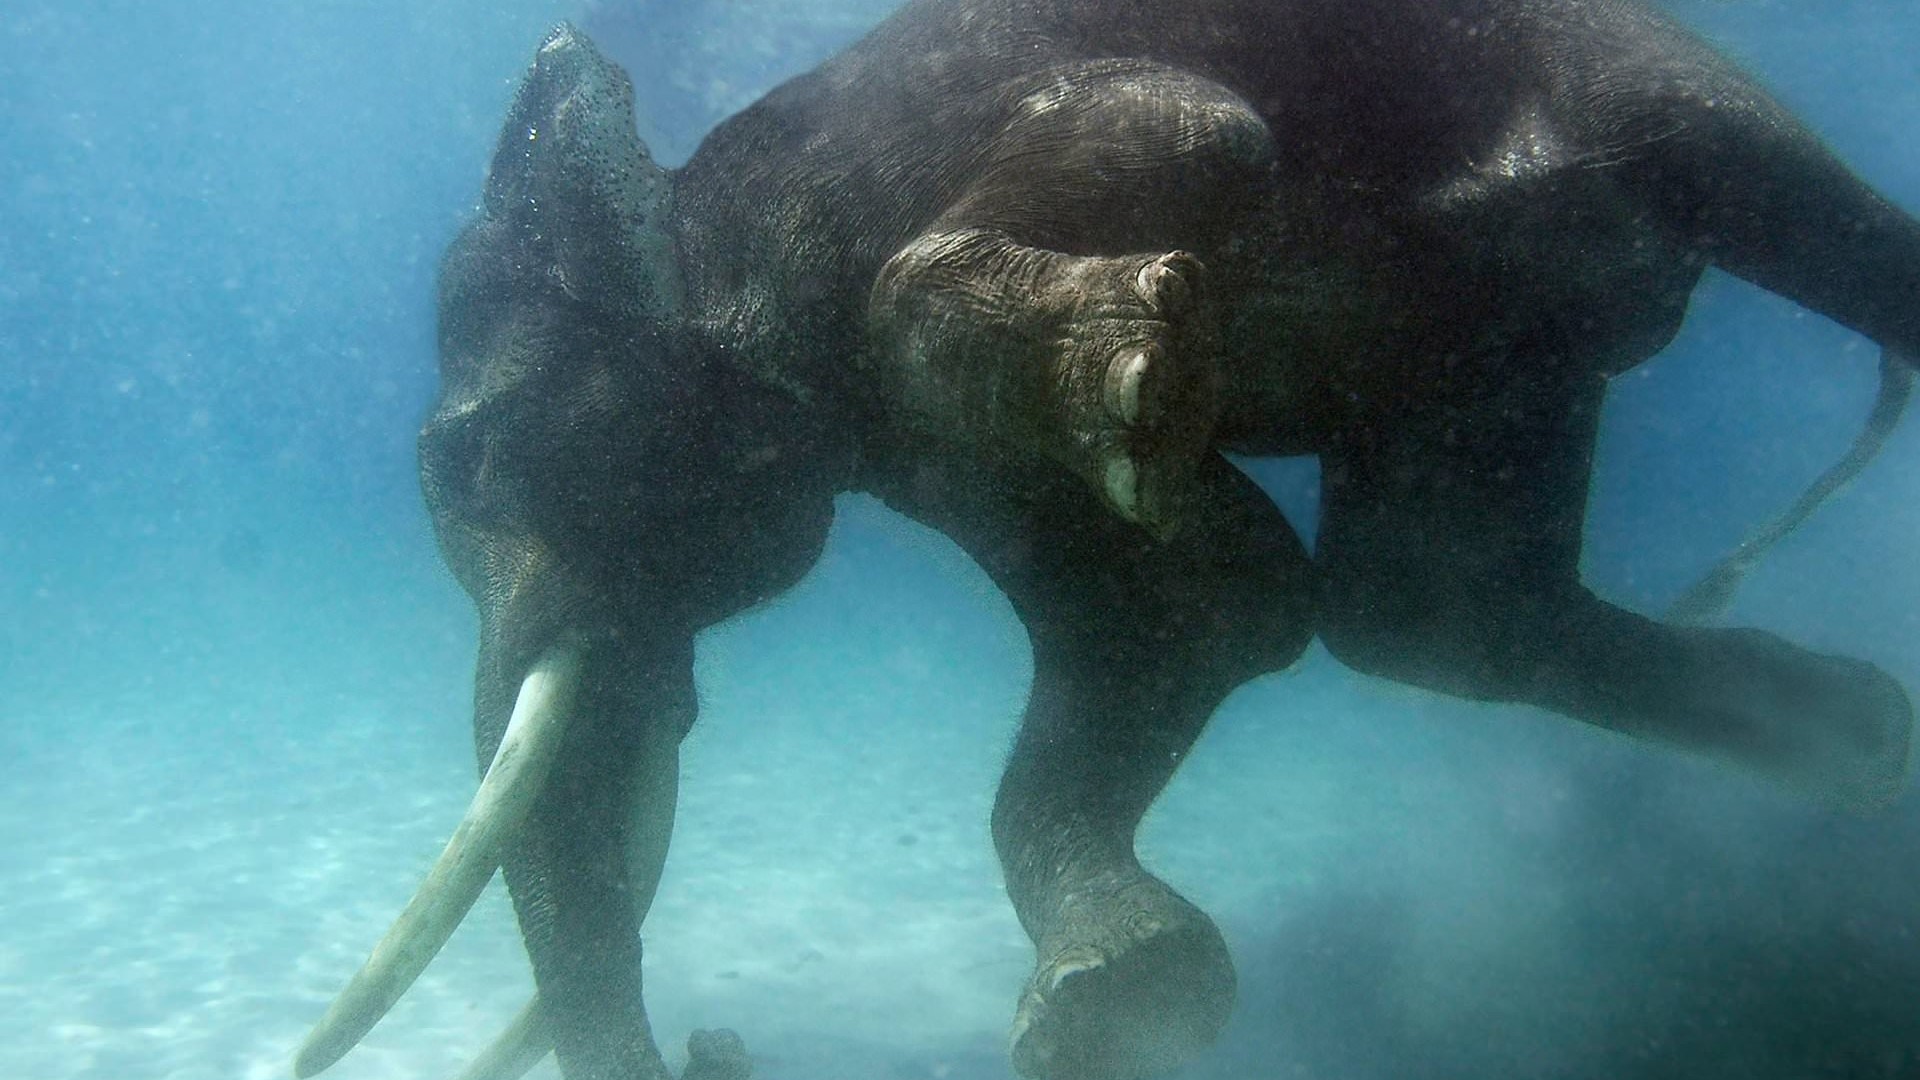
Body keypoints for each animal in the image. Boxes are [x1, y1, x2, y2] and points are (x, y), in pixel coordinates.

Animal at [294, 2, 1919, 1079]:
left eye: (468, 457)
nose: (719, 1040)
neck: (695, 213)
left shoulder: (890, 183)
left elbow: (1183, 125)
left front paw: (1151, 382)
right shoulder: (928, 458)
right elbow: (1198, 624)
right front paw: (1120, 1003)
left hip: (1630, 69)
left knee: (1789, 202)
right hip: (1497, 372)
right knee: (1431, 610)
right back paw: (1857, 742)